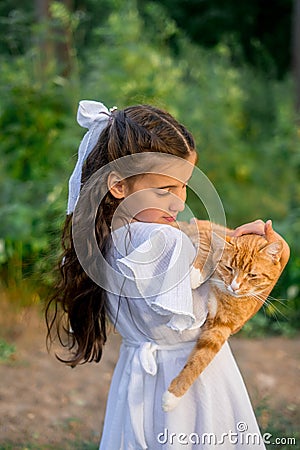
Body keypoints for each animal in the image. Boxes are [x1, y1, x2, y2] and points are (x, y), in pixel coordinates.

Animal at [163, 221, 282, 412]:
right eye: (229, 268)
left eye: (252, 275)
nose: (234, 286)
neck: (223, 293)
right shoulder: (203, 227)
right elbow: (206, 246)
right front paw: (196, 274)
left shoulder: (220, 328)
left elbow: (200, 360)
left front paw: (173, 395)